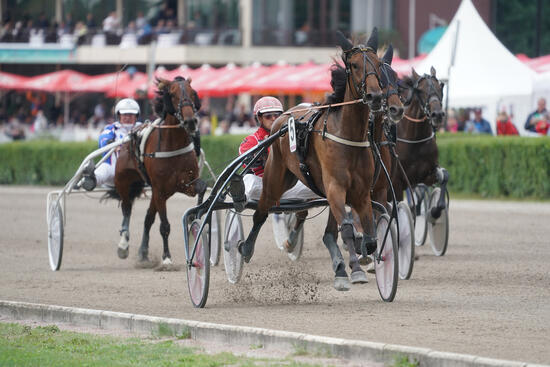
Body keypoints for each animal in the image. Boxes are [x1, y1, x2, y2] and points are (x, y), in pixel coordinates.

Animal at [110, 77, 207, 268]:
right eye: (173, 94)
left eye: (193, 93)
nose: (190, 122)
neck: (174, 143)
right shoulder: (160, 189)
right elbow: (165, 226)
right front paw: (166, 257)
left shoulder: (186, 183)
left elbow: (202, 186)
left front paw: (194, 216)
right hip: (124, 182)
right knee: (127, 209)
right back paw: (123, 245)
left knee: (148, 218)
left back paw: (143, 252)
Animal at [239, 29, 386, 290]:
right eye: (355, 65)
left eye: (379, 64)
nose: (375, 96)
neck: (347, 135)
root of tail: (284, 116)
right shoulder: (335, 187)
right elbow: (346, 229)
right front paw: (352, 271)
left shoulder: (361, 193)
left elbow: (369, 237)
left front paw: (361, 260)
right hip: (274, 179)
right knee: (261, 212)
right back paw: (246, 248)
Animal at [392, 67, 448, 218]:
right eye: (421, 90)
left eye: (440, 87)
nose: (437, 114)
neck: (415, 140)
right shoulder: (397, 181)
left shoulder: (427, 175)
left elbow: (444, 177)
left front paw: (434, 211)